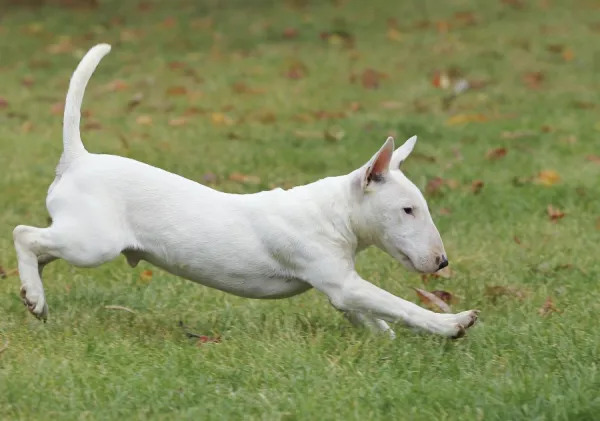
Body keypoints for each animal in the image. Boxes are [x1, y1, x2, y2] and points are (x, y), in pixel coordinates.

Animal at [12, 42, 478, 338]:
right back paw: (35, 296)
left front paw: (389, 342)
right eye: (408, 210)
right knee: (24, 234)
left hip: (77, 236)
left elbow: (372, 316)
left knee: (41, 248)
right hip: (93, 244)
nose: (441, 262)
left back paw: (33, 296)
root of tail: (78, 157)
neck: (331, 213)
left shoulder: (341, 292)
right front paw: (453, 324)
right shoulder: (340, 282)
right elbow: (400, 306)